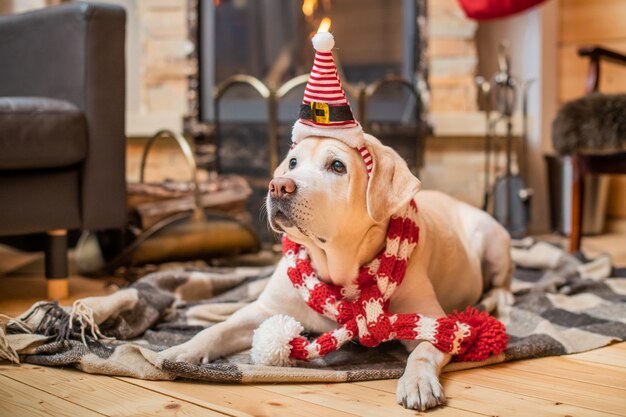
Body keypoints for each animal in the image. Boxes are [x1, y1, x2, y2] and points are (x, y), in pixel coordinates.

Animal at [157, 132, 512, 410]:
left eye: (337, 166)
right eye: (292, 163)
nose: (278, 185)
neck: (337, 271)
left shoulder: (433, 323)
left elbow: (422, 354)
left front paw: (417, 383)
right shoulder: (264, 310)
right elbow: (216, 331)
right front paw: (180, 351)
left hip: (491, 238)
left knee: (503, 284)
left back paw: (496, 300)